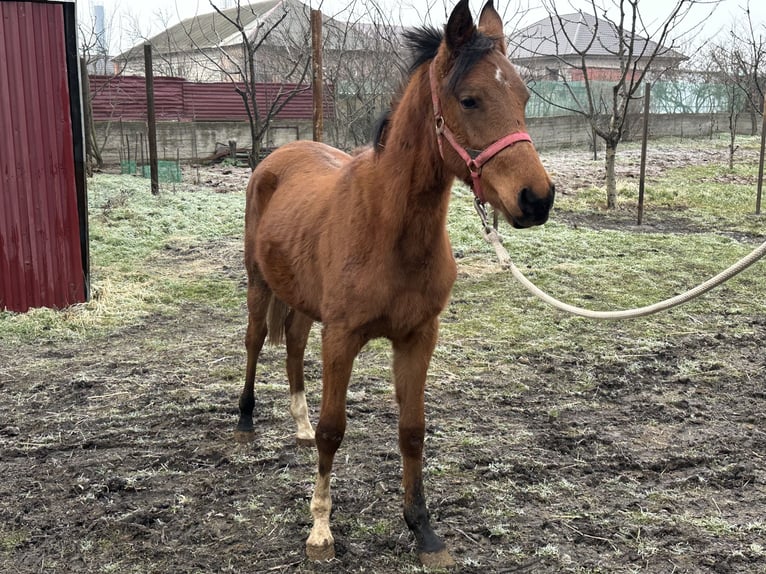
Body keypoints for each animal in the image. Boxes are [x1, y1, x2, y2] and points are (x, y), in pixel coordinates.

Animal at [236, 0, 555, 566]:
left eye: (523, 96)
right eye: (469, 99)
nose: (536, 199)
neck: (388, 228)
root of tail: (275, 158)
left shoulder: (417, 337)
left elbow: (412, 431)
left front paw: (422, 528)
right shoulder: (342, 338)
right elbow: (333, 431)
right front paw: (321, 530)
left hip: (302, 301)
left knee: (292, 345)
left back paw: (296, 424)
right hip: (259, 286)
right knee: (255, 342)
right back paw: (246, 421)